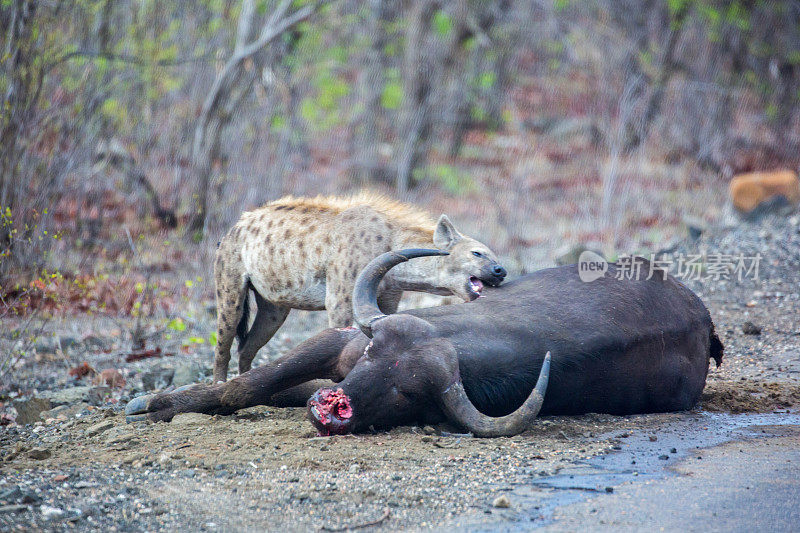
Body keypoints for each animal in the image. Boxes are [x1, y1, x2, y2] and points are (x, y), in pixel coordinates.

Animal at [126, 249, 724, 436]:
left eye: (408, 393)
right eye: (372, 355)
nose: (335, 405)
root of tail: (702, 316)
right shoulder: (338, 341)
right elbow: (247, 385)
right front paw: (155, 402)